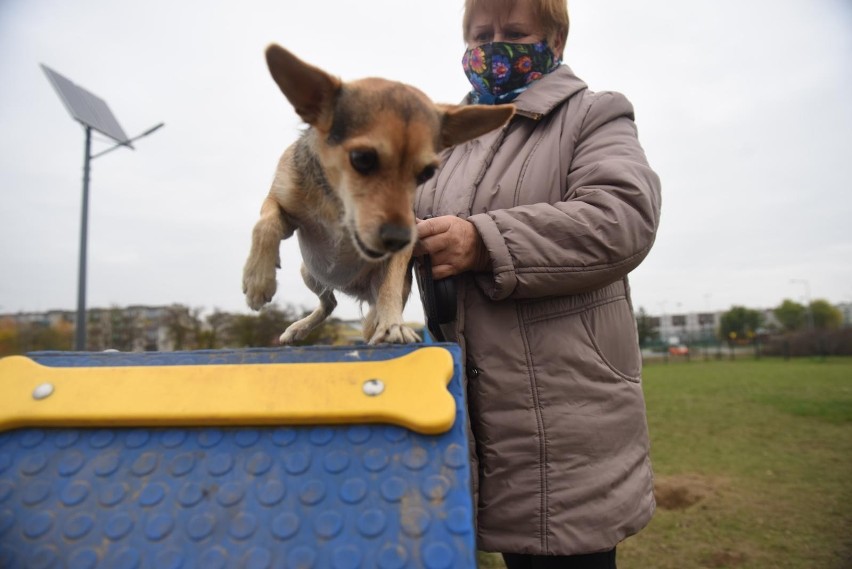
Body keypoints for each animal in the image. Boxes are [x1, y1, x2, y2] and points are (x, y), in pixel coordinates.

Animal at [243, 44, 516, 344]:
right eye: (362, 159)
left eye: (427, 173)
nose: (399, 238)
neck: (336, 205)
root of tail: (356, 291)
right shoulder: (281, 204)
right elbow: (265, 224)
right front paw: (258, 278)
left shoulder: (403, 251)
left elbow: (390, 288)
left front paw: (393, 325)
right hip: (311, 272)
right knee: (329, 302)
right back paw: (298, 327)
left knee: (349, 305)